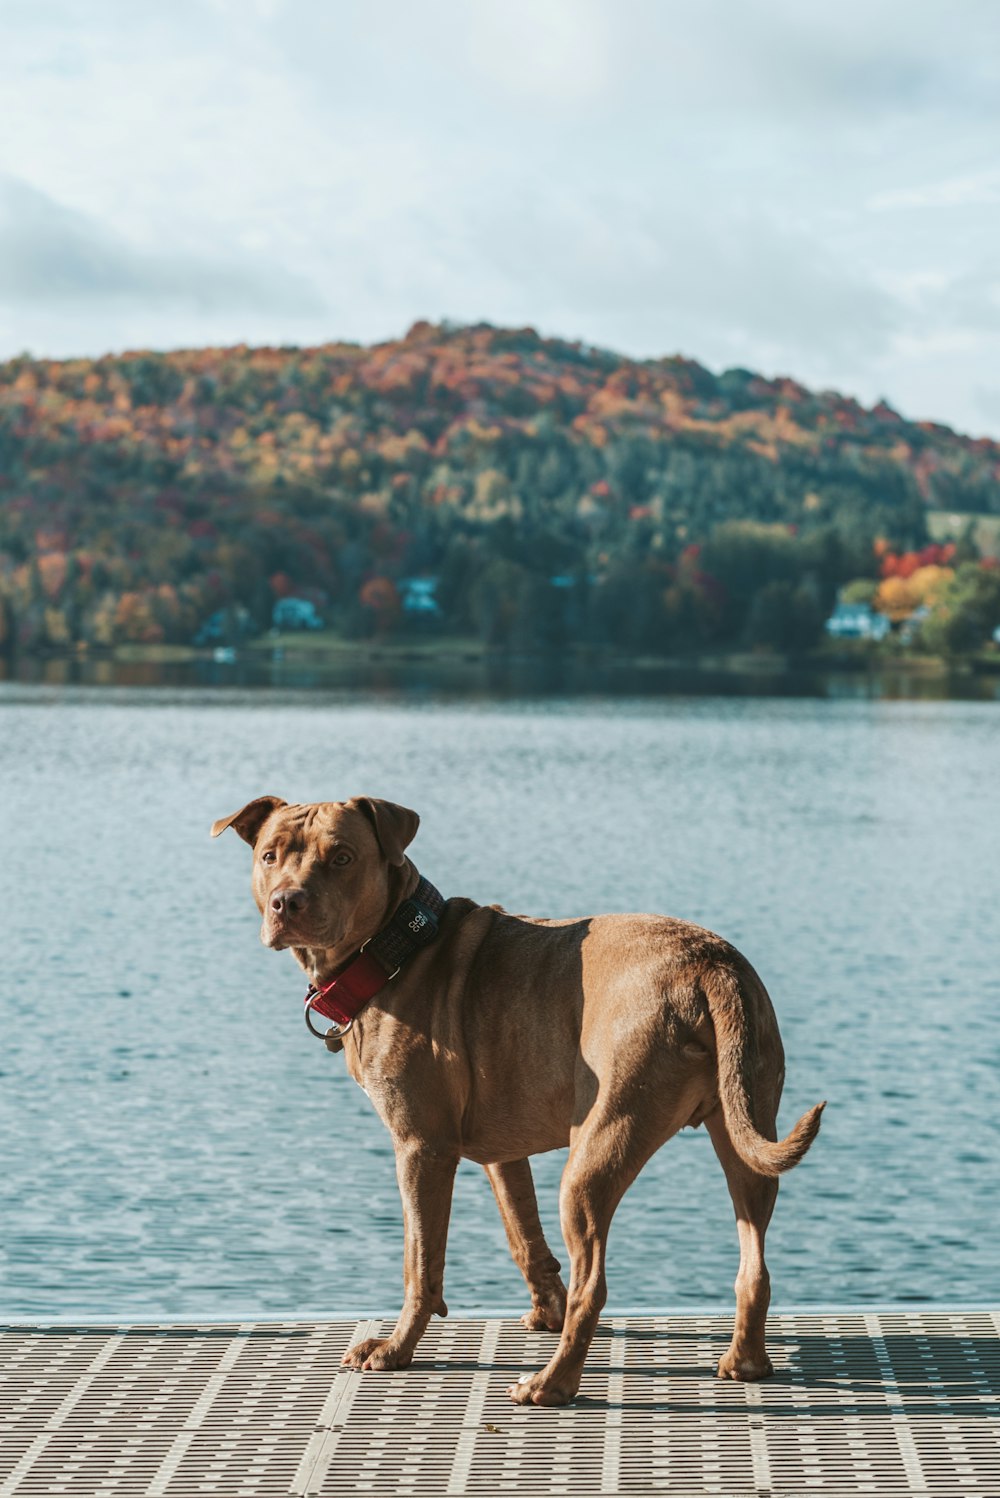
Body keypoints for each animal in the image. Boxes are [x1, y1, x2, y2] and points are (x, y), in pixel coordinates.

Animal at [211, 796, 820, 1402]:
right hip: (745, 1135)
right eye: (270, 856)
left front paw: (396, 1348)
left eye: (341, 857)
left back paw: (551, 1383)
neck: (395, 948)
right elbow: (524, 1236)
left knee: (594, 1284)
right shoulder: (502, 1153)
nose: (286, 901)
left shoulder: (421, 1148)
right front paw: (544, 1311)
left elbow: (420, 1261)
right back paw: (745, 1361)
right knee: (754, 1262)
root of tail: (708, 963)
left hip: (594, 1155)